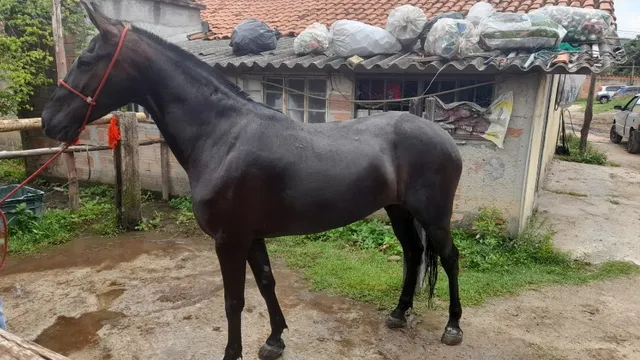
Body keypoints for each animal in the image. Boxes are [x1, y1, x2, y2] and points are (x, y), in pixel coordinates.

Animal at [42, 3, 464, 360]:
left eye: (85, 60)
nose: (48, 121)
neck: (222, 135)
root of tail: (443, 136)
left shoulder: (229, 239)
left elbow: (234, 301)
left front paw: (234, 353)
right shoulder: (252, 236)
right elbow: (265, 282)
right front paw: (275, 339)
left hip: (433, 216)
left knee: (449, 258)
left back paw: (453, 327)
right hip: (398, 210)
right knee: (413, 254)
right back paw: (399, 313)